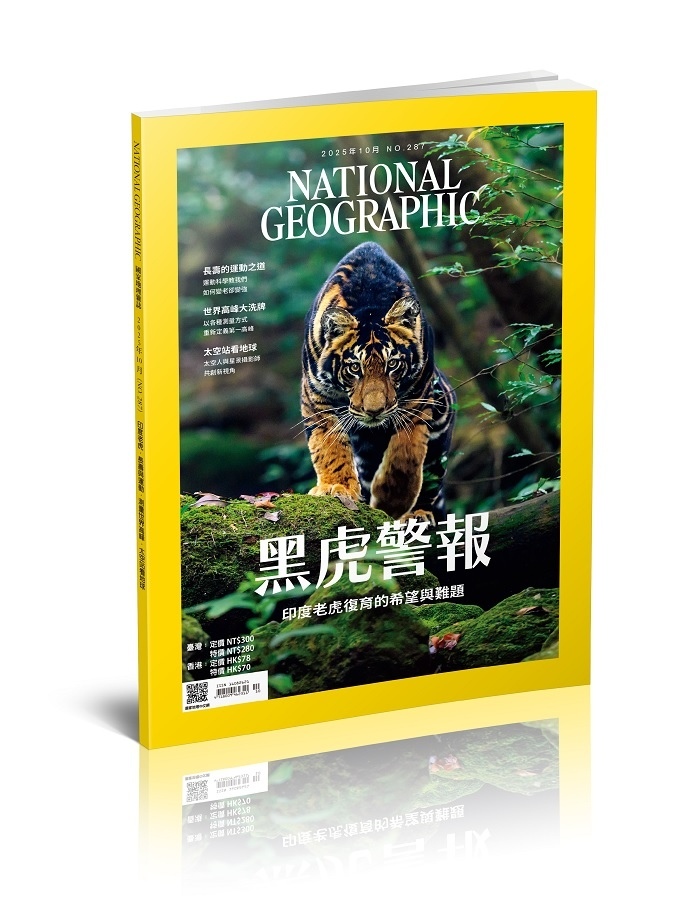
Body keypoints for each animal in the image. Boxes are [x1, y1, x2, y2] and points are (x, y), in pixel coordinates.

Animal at [301, 241, 456, 523]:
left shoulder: (419, 395)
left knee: (431, 479)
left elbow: (407, 452)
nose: (374, 411)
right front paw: (336, 487)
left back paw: (417, 514)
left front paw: (393, 500)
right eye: (354, 368)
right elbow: (328, 446)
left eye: (392, 365)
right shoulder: (316, 395)